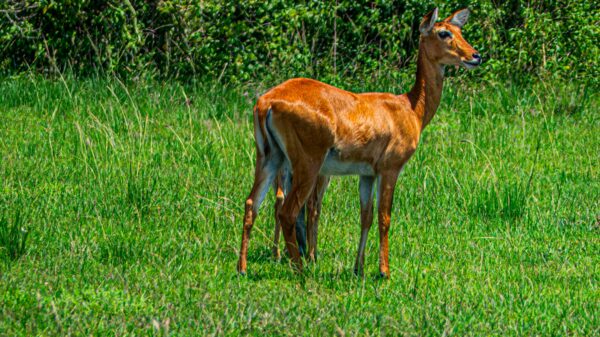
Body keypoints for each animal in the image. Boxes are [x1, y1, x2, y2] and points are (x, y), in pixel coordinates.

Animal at [238, 8, 482, 276]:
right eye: (444, 32)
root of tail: (266, 103)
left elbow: (366, 216)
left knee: (252, 203)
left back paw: (243, 268)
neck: (412, 109)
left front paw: (359, 268)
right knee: (288, 211)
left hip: (269, 156)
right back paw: (301, 269)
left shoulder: (367, 173)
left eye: (460, 30)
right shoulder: (390, 167)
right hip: (307, 160)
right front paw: (384, 271)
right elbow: (384, 217)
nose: (475, 55)